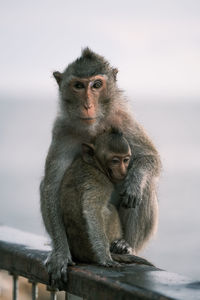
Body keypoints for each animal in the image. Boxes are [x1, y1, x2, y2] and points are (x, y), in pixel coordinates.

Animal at [59, 129, 153, 268]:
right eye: (115, 161)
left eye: (125, 160)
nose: (124, 171)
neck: (94, 164)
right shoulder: (101, 182)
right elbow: (92, 210)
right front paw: (105, 257)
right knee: (110, 209)